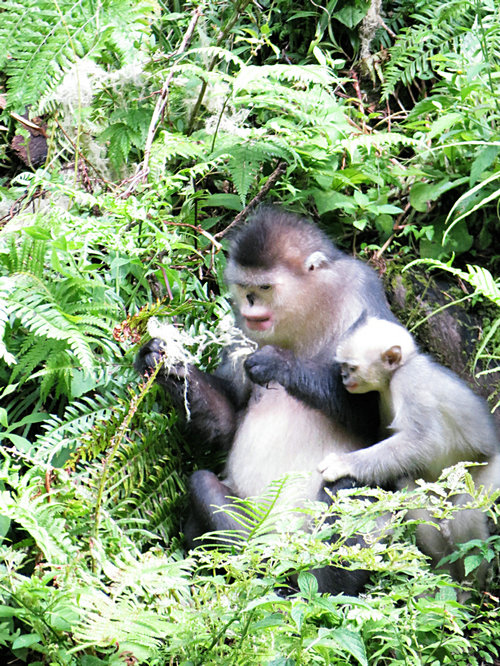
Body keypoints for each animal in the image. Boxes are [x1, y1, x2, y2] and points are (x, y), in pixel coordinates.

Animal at [135, 208, 396, 592]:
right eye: (245, 289)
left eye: (265, 289)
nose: (251, 308)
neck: (307, 310)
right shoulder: (240, 326)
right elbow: (229, 420)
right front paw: (164, 361)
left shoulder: (361, 289)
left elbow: (382, 422)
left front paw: (280, 365)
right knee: (203, 483)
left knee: (347, 486)